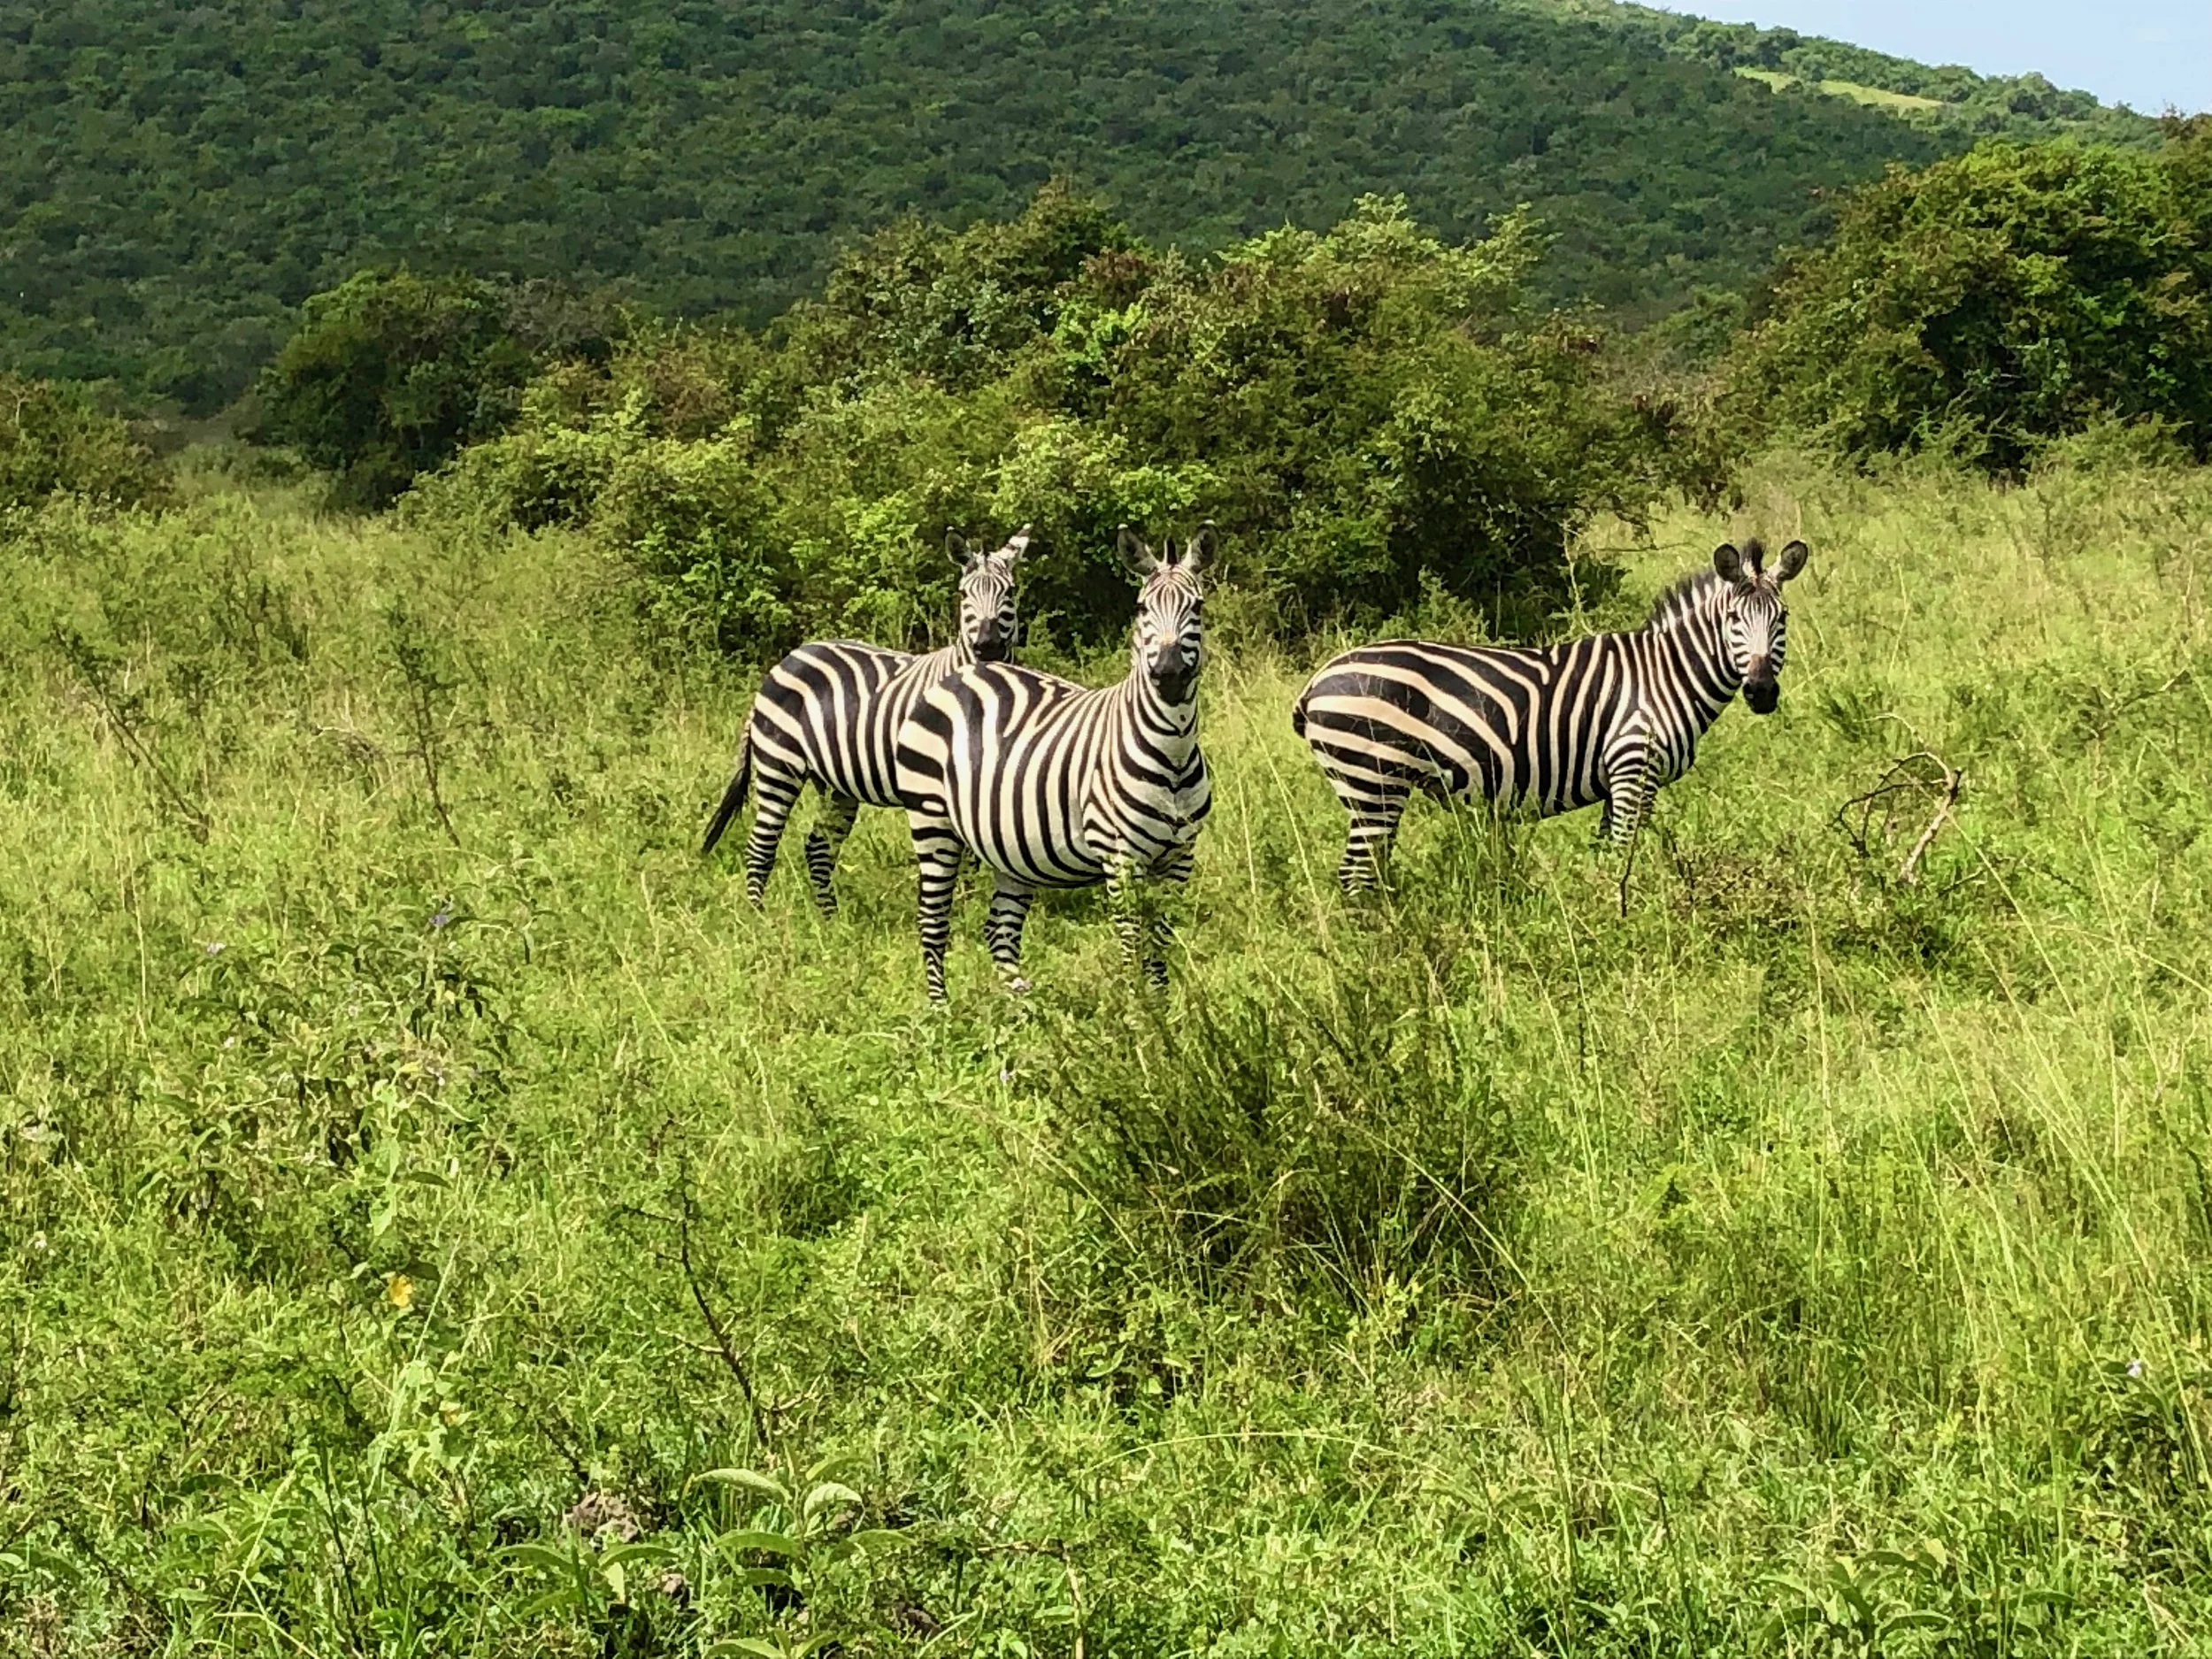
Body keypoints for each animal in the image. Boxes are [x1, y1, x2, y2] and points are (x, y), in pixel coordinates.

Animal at [700, 526, 1028, 913]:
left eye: (1010, 591)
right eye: (964, 593)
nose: (988, 646)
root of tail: (788, 659)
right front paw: (963, 906)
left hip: (835, 783)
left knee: (818, 846)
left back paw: (829, 917)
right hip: (779, 765)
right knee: (761, 845)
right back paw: (760, 915)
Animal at [894, 525, 1213, 1002]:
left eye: (1198, 606)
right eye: (1141, 608)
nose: (1170, 674)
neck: (1172, 753)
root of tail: (969, 671)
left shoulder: (1179, 857)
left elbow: (1160, 939)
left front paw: (1165, 1007)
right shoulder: (1120, 858)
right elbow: (1131, 942)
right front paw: (1139, 1013)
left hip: (1006, 843)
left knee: (999, 930)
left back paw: (1023, 1009)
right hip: (932, 822)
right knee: (932, 921)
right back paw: (942, 1010)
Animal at [1292, 537, 1808, 896]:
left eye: (1781, 618)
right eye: (1734, 621)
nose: (1762, 692)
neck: (1667, 674)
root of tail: (1317, 682)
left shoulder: (1618, 780)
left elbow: (1607, 854)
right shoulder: (1633, 769)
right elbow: (1624, 855)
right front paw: (1626, 914)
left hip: (1368, 785)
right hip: (1372, 779)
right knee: (1357, 875)